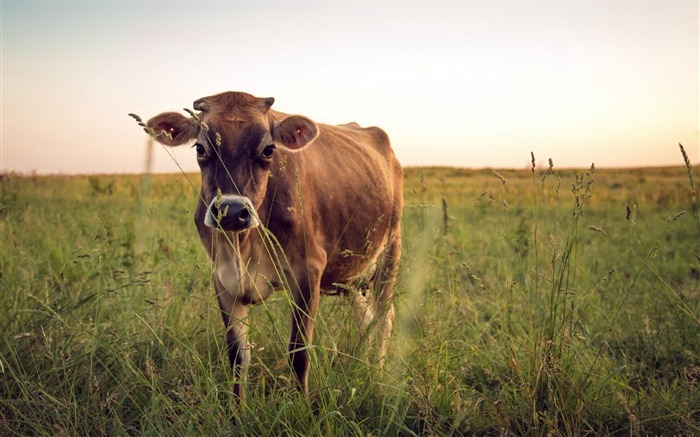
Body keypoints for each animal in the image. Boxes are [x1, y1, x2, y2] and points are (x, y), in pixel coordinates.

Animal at [145, 91, 402, 396]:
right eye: (200, 148)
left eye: (269, 150)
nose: (232, 212)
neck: (243, 245)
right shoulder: (223, 279)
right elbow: (237, 357)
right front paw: (237, 407)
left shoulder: (309, 271)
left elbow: (299, 353)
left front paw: (304, 405)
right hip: (352, 271)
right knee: (365, 317)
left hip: (390, 250)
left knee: (384, 318)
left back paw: (378, 370)